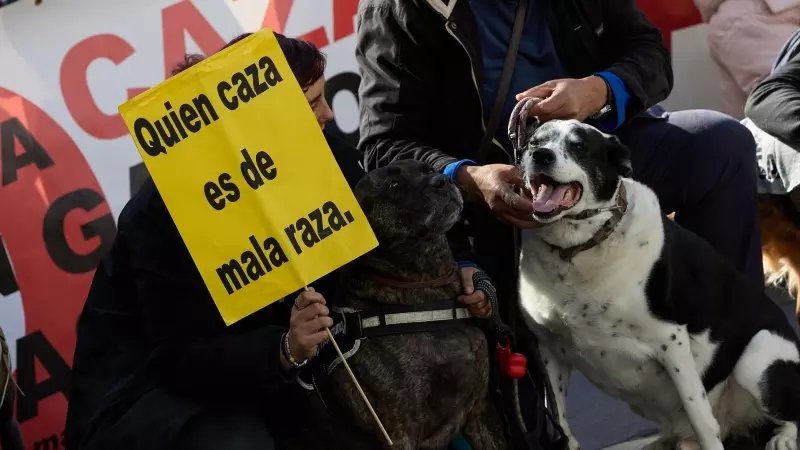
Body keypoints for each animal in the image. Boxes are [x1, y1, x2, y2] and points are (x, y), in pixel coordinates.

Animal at [294, 160, 506, 448]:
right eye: (393, 184)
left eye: (428, 170)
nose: (442, 181)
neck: (425, 284)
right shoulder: (400, 433)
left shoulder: (480, 409)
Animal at [516, 117, 800, 450]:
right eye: (533, 142)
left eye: (579, 146)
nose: (540, 155)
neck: (580, 249)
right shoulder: (548, 347)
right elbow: (558, 420)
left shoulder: (671, 342)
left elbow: (702, 419)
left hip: (758, 355)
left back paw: (783, 437)